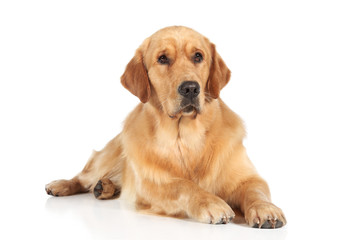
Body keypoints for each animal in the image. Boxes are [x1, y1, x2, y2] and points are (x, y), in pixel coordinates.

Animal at [45, 25, 284, 229]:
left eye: (198, 56)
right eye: (162, 59)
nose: (190, 88)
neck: (185, 136)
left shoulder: (247, 177)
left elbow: (256, 191)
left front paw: (266, 209)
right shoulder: (150, 184)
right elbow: (183, 185)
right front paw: (211, 203)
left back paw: (104, 187)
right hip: (108, 156)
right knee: (83, 176)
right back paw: (61, 185)